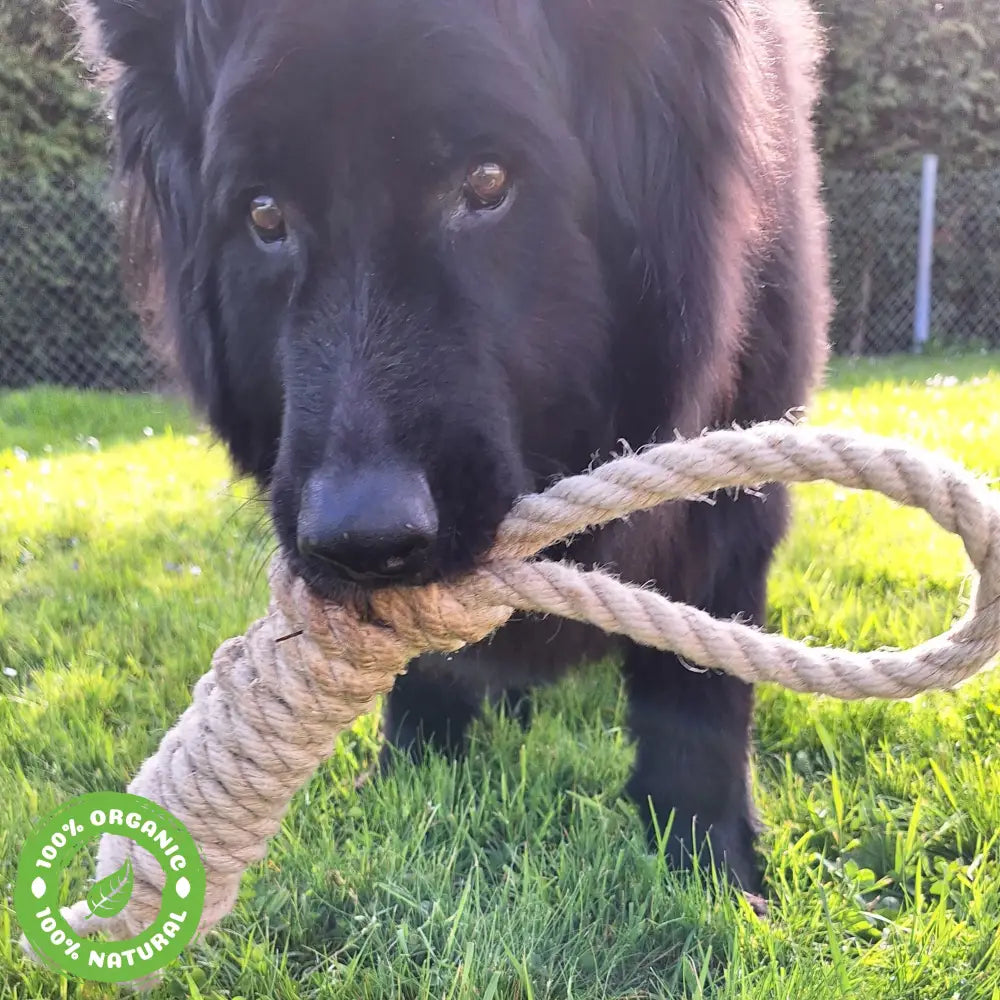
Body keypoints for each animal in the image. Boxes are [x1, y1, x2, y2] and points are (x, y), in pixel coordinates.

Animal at [76, 0, 828, 896]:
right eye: (264, 216)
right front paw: (414, 768)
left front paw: (707, 860)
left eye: (488, 183)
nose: (362, 541)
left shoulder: (735, 482)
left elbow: (700, 680)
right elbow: (425, 664)